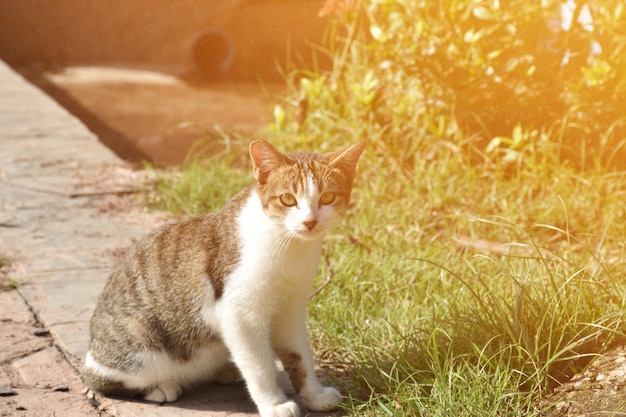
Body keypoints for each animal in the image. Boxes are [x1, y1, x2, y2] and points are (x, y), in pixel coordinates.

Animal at [83, 138, 366, 414]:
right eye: (287, 199)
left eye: (327, 197)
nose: (309, 222)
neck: (289, 246)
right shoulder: (240, 314)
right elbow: (260, 365)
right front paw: (274, 403)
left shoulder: (291, 309)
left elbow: (300, 356)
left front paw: (315, 395)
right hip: (139, 343)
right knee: (101, 378)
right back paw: (160, 386)